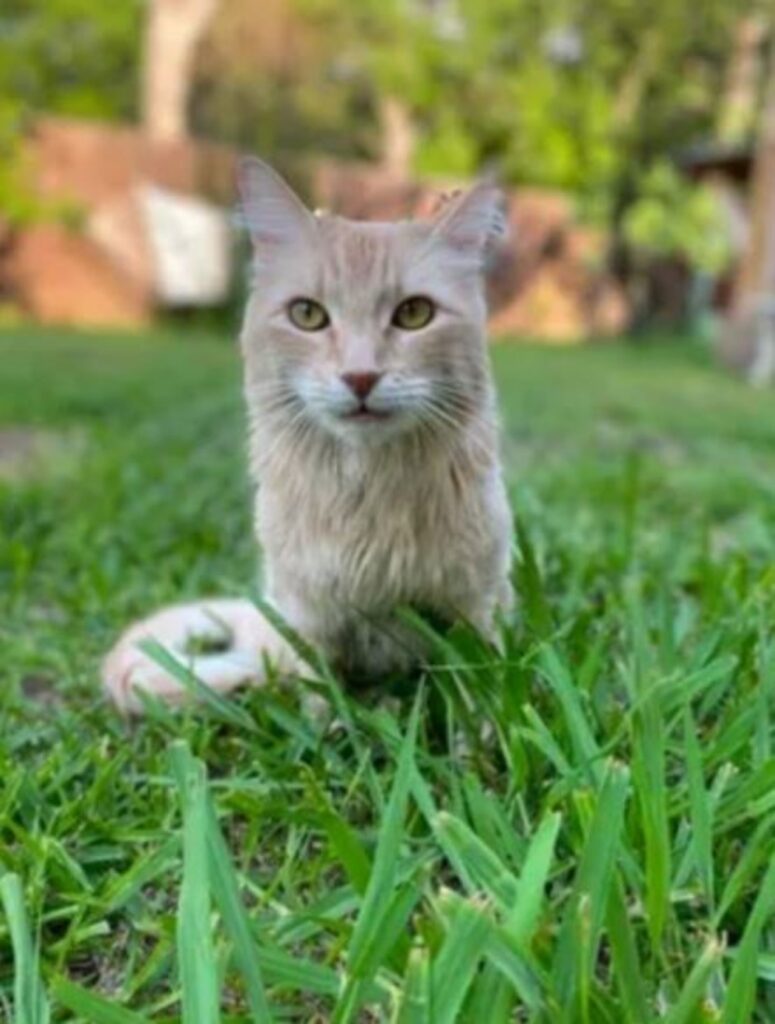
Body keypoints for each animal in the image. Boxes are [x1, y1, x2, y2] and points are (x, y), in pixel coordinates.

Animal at [102, 159, 513, 716]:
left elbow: (480, 698)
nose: (360, 377)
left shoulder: (476, 604)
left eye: (414, 314)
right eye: (308, 315)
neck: (368, 490)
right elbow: (320, 697)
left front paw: (479, 738)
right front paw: (336, 728)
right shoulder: (308, 618)